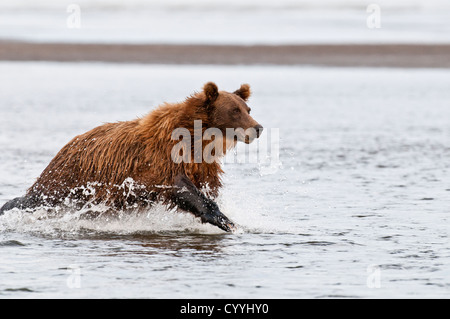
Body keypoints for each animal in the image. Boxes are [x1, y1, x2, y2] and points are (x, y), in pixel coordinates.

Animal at [0, 82, 264, 232]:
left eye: (247, 109)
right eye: (234, 110)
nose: (258, 127)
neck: (198, 140)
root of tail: (68, 144)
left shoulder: (202, 166)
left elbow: (205, 189)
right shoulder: (162, 158)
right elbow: (182, 187)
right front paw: (226, 221)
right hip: (71, 176)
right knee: (38, 197)